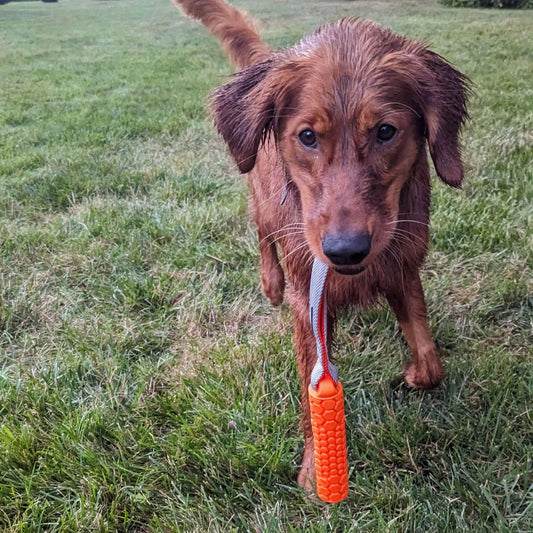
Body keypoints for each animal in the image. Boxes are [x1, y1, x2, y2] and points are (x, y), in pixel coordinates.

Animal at [172, 0, 468, 490]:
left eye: (385, 131)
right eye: (308, 136)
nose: (345, 250)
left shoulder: (403, 267)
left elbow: (431, 363)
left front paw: (413, 374)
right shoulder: (307, 298)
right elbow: (313, 387)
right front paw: (316, 470)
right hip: (263, 202)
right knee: (262, 235)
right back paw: (269, 281)